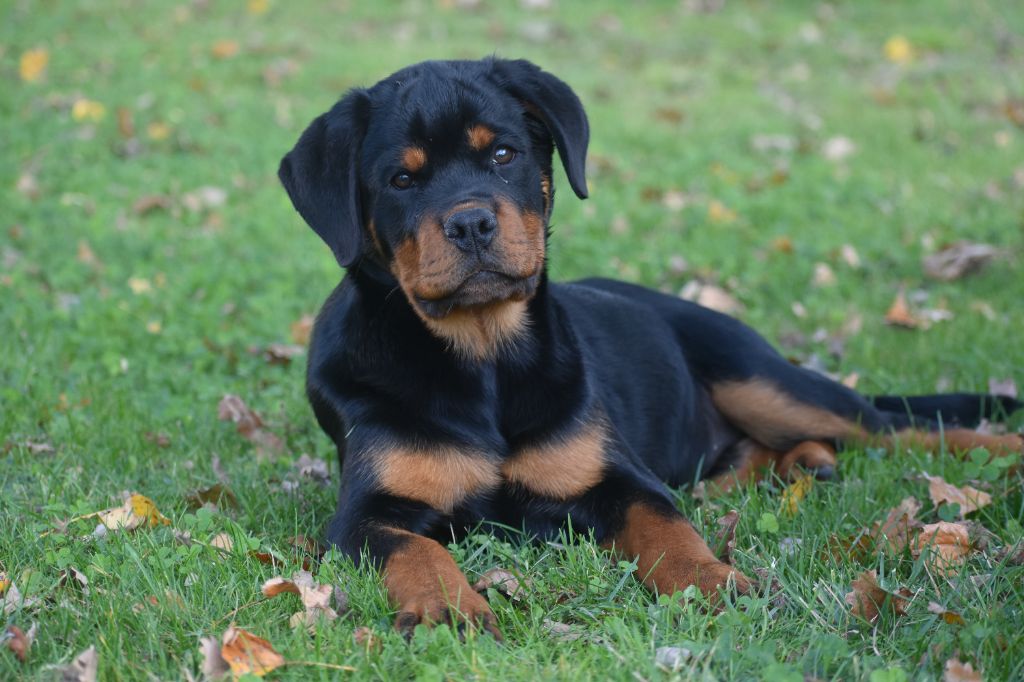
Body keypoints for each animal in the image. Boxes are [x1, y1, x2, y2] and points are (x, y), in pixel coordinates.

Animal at [278, 58, 1024, 638]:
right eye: (401, 181)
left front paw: (712, 582)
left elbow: (666, 527)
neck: (483, 354)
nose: (469, 223)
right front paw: (447, 611)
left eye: (503, 155)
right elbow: (417, 553)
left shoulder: (618, 479)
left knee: (899, 426)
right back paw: (799, 466)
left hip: (762, 379)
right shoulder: (366, 515)